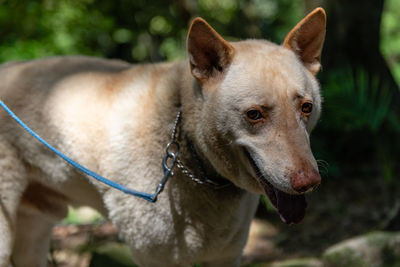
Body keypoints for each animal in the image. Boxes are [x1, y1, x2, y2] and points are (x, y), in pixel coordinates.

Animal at [0, 7, 324, 267]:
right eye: (254, 114)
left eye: (306, 108)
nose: (309, 182)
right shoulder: (157, 257)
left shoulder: (227, 255)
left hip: (33, 233)